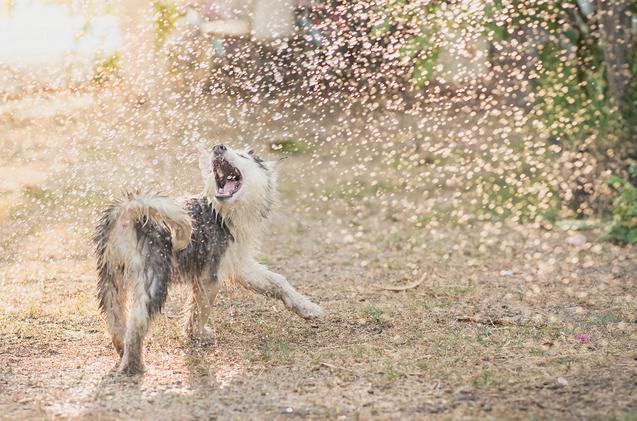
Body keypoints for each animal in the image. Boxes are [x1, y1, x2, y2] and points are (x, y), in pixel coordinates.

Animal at [93, 144, 322, 374]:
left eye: (242, 155)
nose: (218, 147)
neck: (220, 212)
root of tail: (130, 211)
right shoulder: (210, 276)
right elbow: (199, 310)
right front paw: (197, 336)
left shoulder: (238, 263)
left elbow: (277, 281)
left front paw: (306, 308)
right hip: (154, 277)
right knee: (137, 321)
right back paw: (133, 365)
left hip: (111, 276)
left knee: (115, 315)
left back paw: (121, 348)